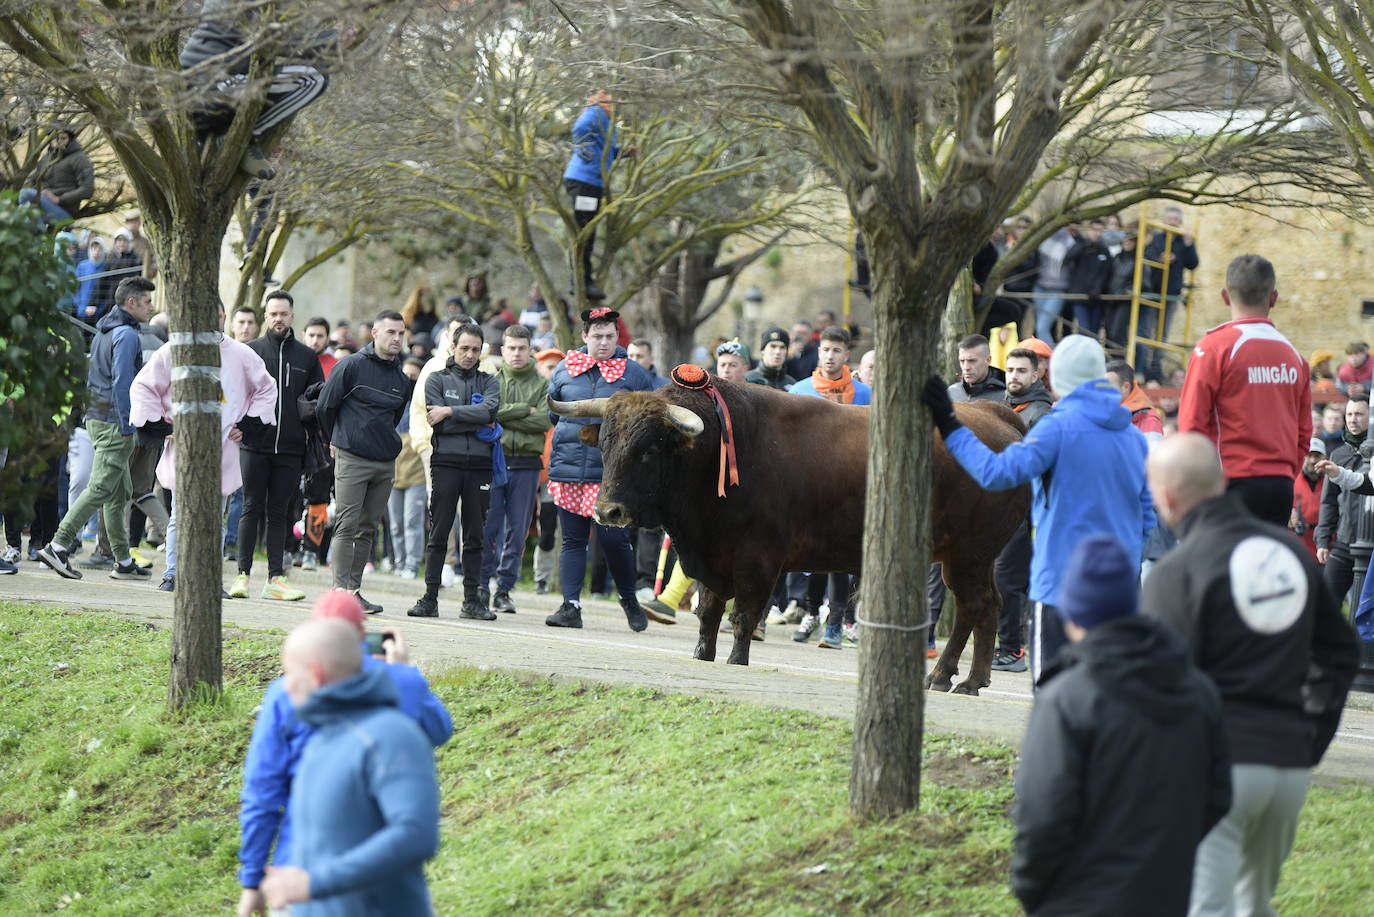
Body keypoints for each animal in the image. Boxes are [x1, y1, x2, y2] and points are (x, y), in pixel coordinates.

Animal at [552, 379, 1027, 695]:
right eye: (606, 444)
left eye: (649, 450)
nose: (607, 511)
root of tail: (998, 416)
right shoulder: (711, 556)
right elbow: (708, 613)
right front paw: (702, 654)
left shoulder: (759, 560)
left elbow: (742, 615)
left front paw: (736, 659)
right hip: (967, 558)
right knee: (987, 605)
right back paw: (968, 678)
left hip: (969, 556)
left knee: (975, 606)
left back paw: (949, 677)